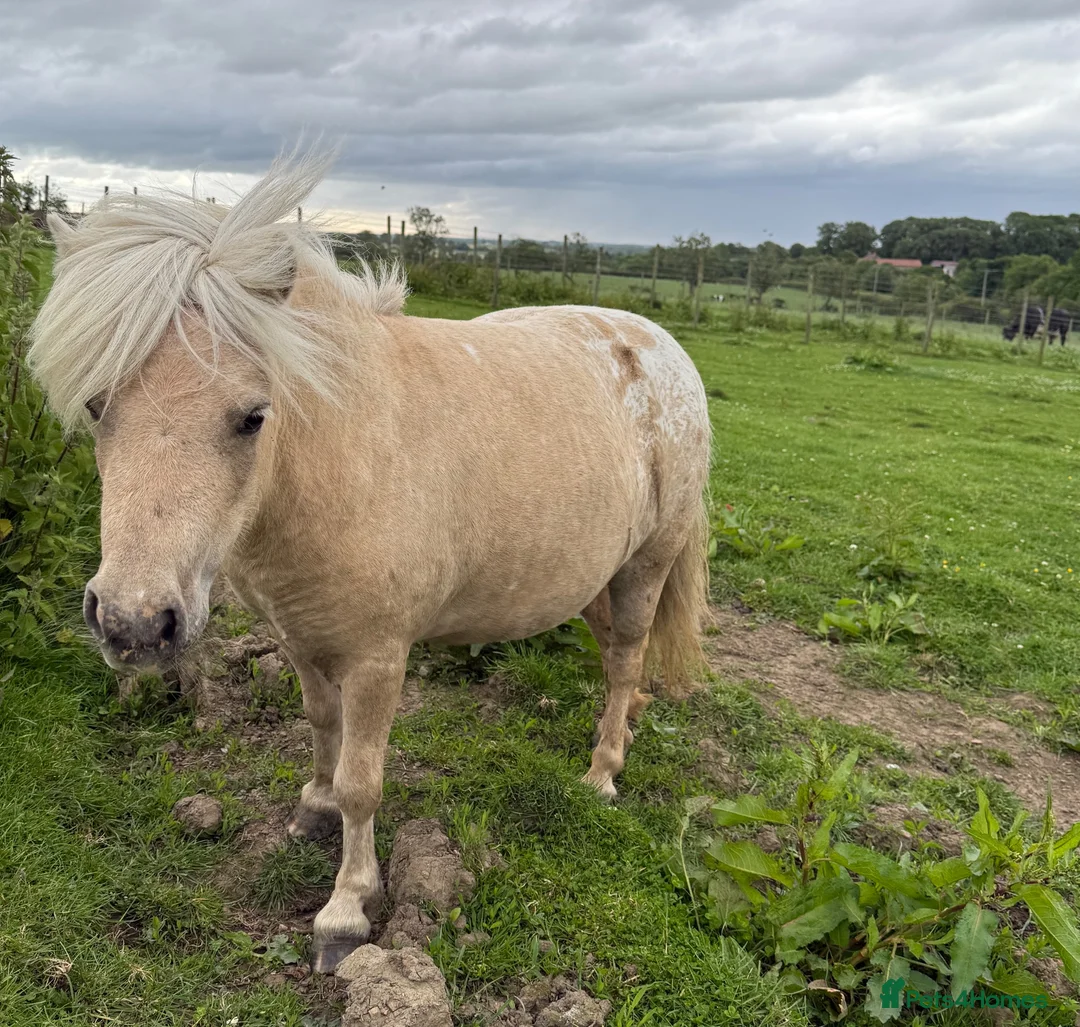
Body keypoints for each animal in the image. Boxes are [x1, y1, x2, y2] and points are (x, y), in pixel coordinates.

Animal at [28, 151, 712, 974]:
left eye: (253, 416)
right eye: (98, 406)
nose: (133, 624)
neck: (341, 451)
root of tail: (663, 345)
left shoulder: (379, 658)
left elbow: (363, 782)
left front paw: (345, 911)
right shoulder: (300, 636)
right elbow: (322, 728)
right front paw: (311, 811)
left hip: (648, 564)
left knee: (627, 655)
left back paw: (604, 770)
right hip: (594, 575)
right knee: (616, 655)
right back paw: (630, 726)